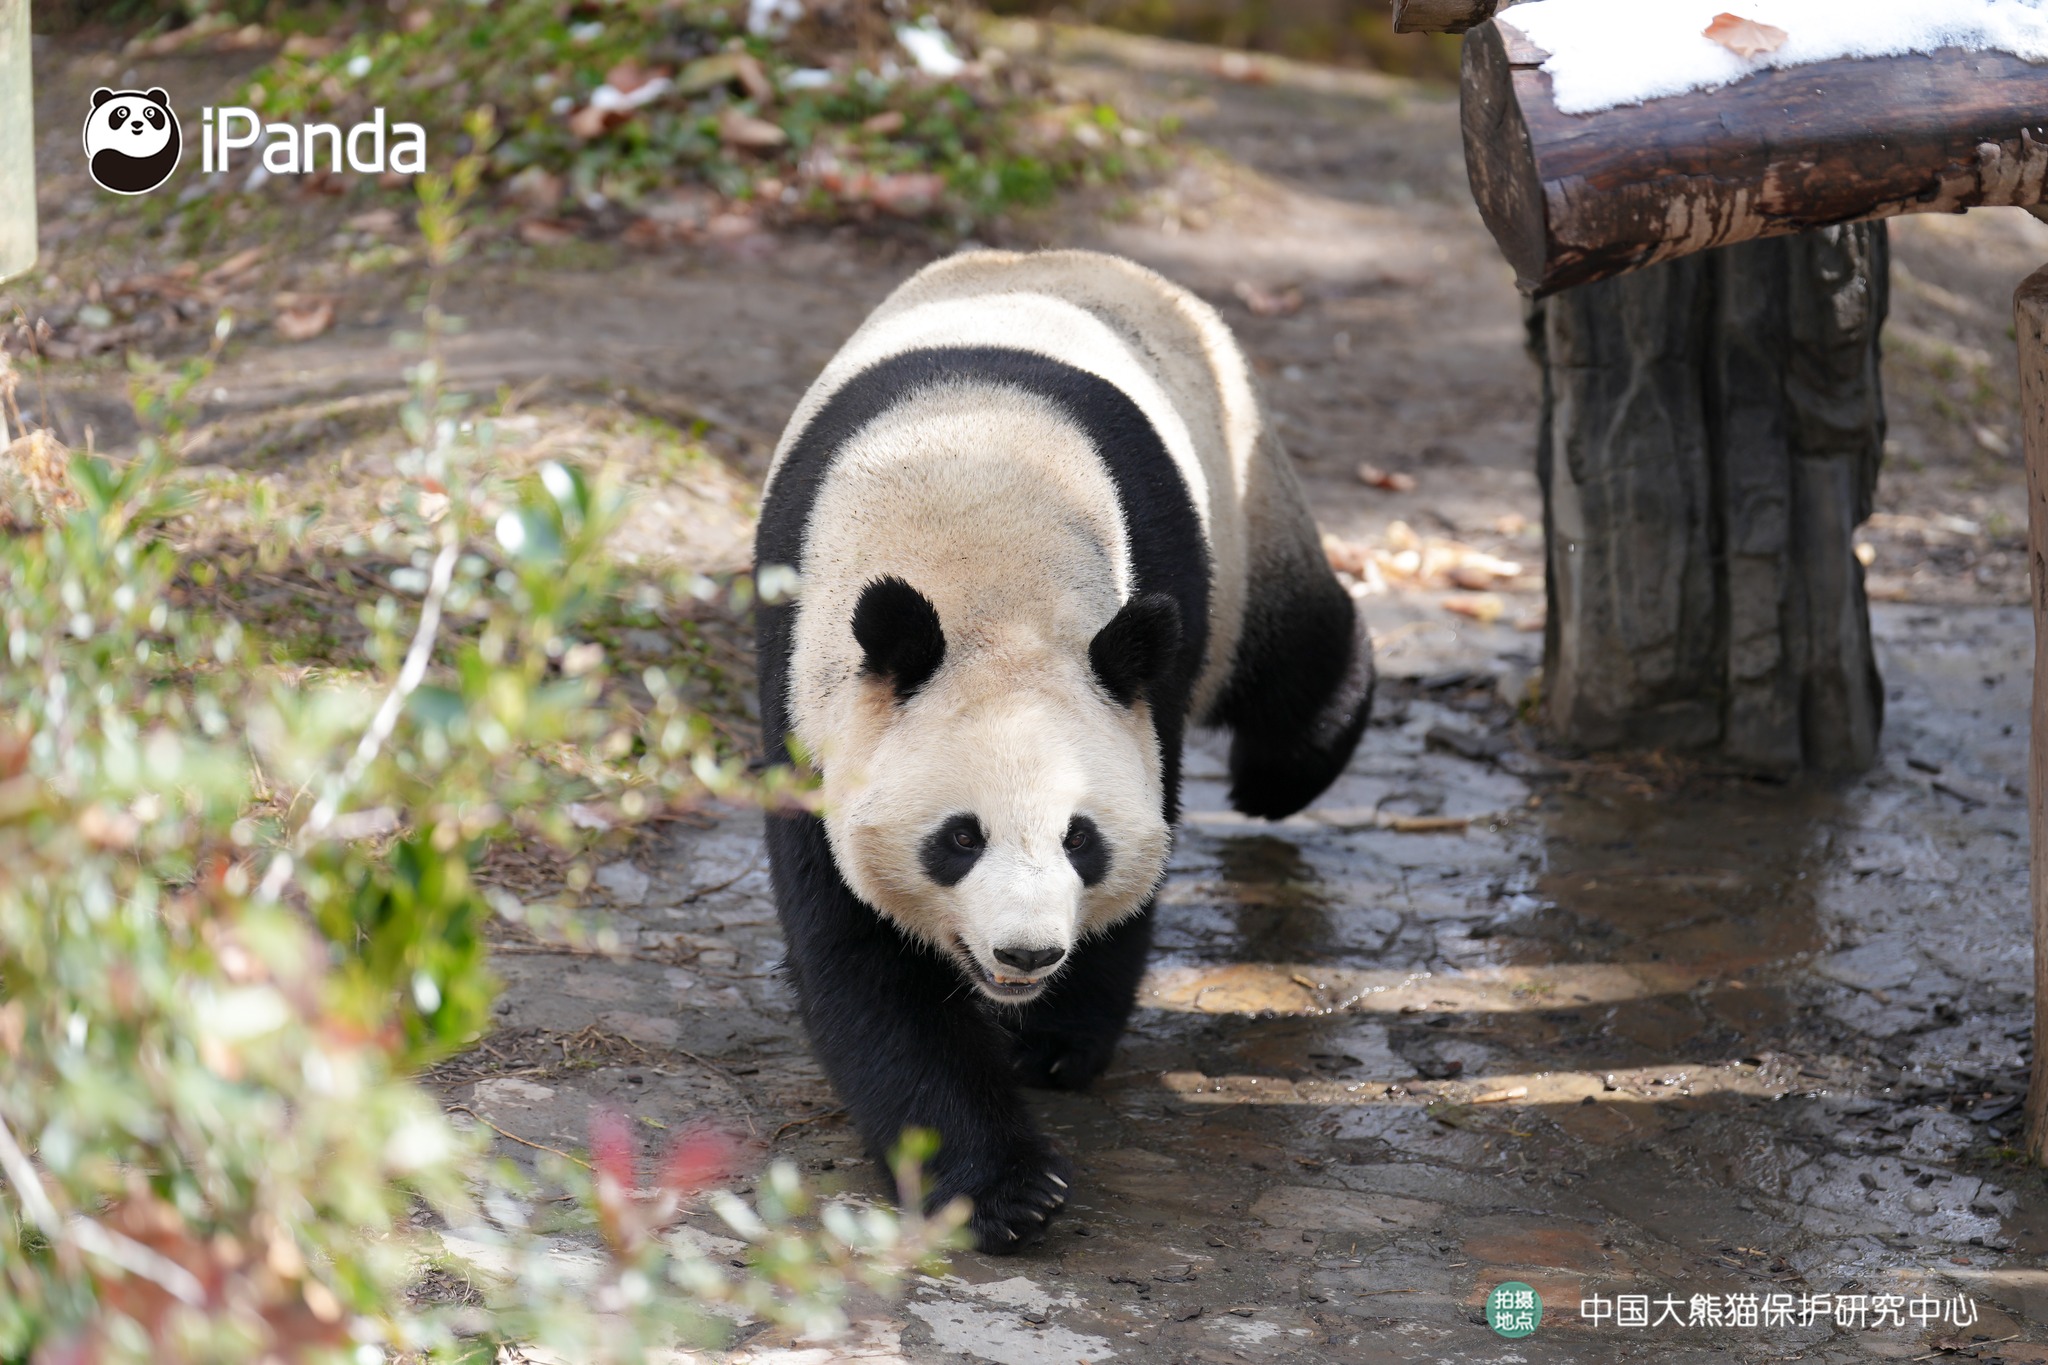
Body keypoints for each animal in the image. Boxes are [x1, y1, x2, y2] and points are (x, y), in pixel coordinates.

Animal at [754, 249, 1373, 1252]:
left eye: (1081, 838)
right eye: (959, 837)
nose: (1028, 954)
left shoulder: (1143, 657)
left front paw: (1054, 1044)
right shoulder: (806, 687)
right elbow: (860, 950)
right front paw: (1003, 1188)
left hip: (1240, 492)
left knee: (1287, 651)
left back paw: (1288, 769)